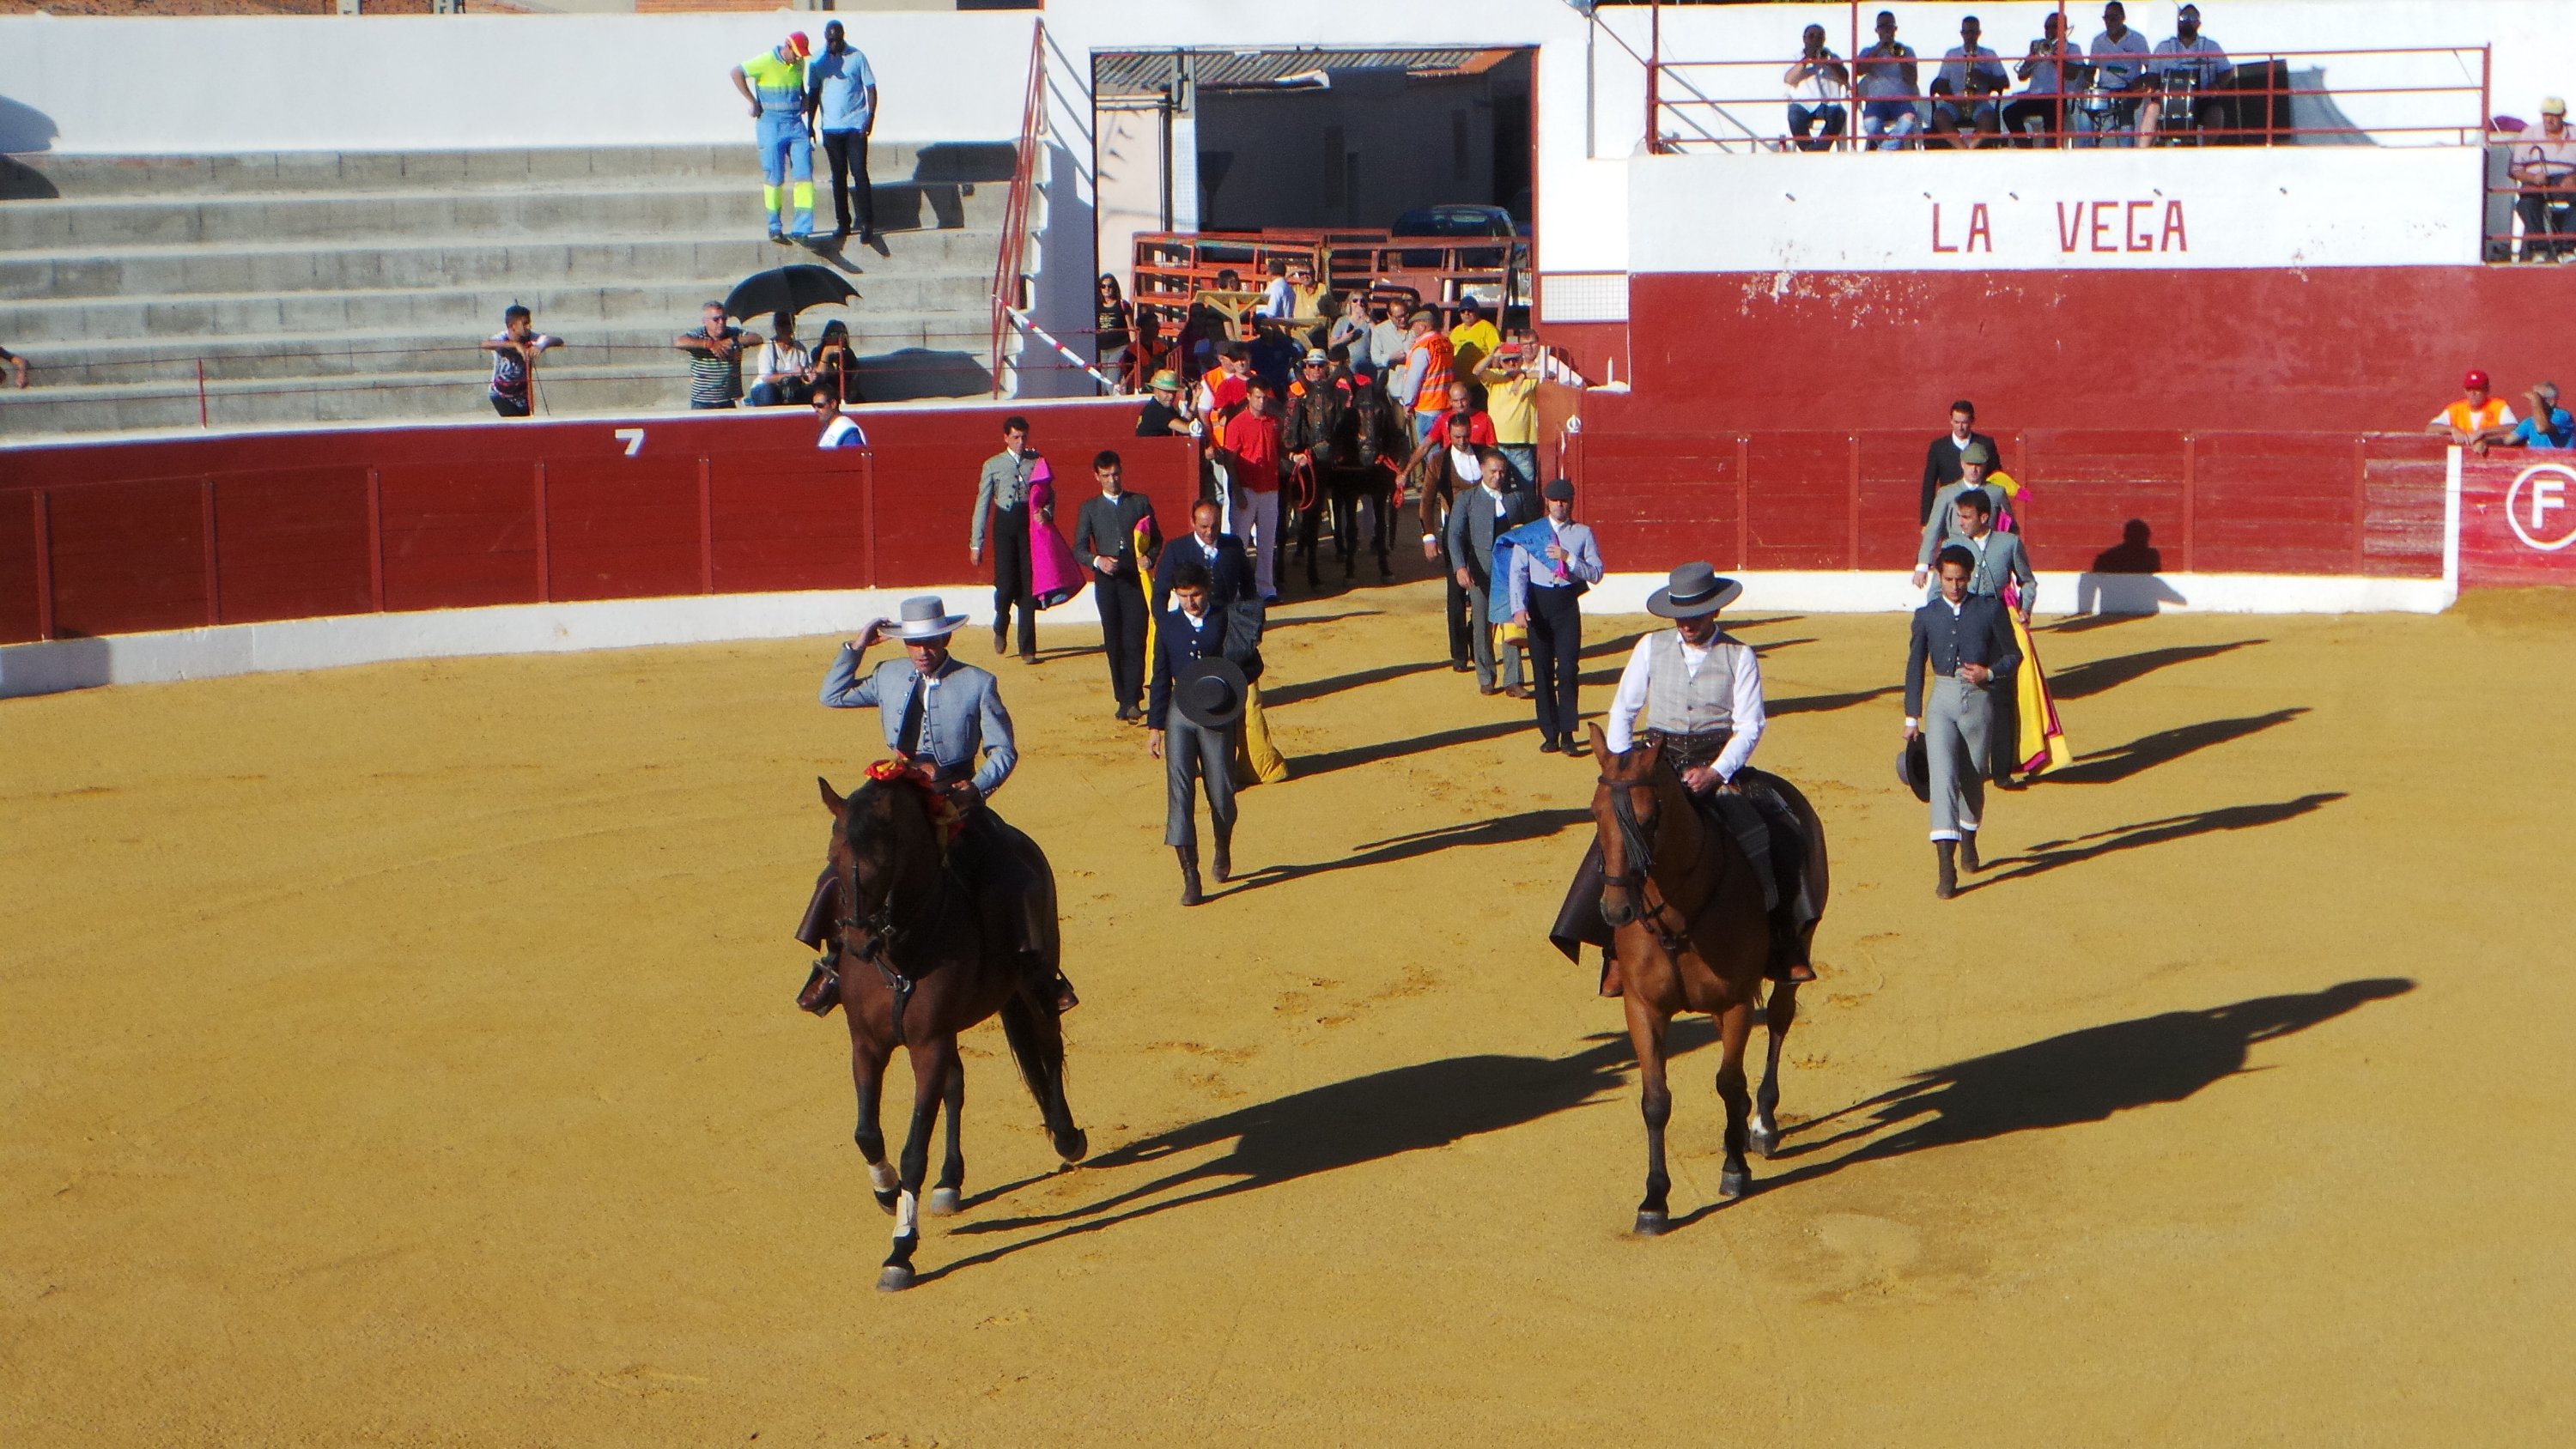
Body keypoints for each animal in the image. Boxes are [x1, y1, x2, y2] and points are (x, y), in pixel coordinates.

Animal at [818, 772, 1088, 1292]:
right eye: (833, 857)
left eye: (883, 860)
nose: (858, 942)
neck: (901, 951)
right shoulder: (868, 1045)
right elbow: (867, 1133)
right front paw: (887, 1193)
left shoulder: (928, 1045)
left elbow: (912, 1151)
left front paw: (901, 1252)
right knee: (957, 1087)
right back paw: (950, 1182)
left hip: (1034, 985)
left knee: (1047, 1049)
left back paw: (1067, 1137)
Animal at [1583, 724, 1831, 1234]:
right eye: (1595, 813)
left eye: (1650, 817)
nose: (1616, 911)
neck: (1679, 912)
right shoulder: (1643, 1008)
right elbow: (1656, 1100)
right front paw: (1654, 1201)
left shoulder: (1734, 1002)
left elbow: (1728, 1081)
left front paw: (1735, 1169)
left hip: (1794, 958)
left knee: (1778, 1022)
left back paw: (1762, 1125)